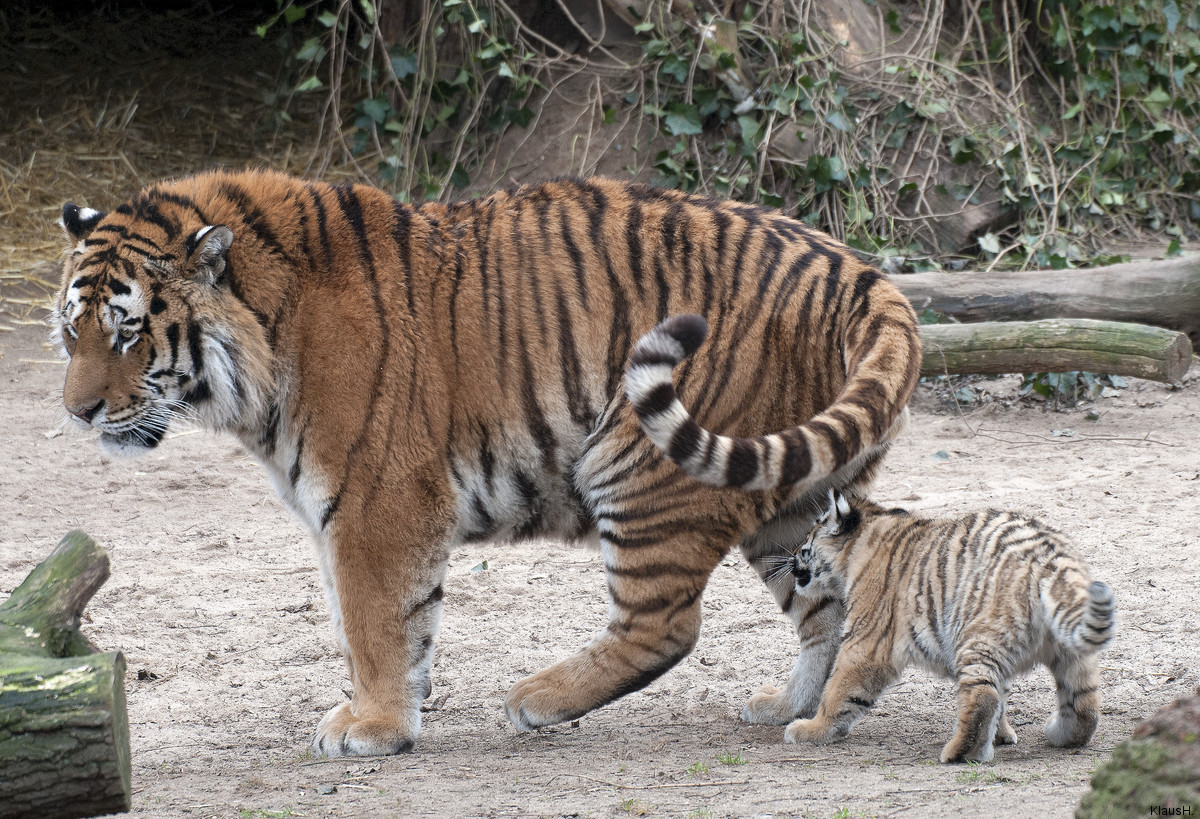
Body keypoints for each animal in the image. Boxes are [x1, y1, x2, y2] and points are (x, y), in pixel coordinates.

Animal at [51, 169, 921, 754]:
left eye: (128, 331)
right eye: (71, 330)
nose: (77, 410)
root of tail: (860, 271)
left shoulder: (375, 503)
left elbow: (373, 620)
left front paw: (372, 725)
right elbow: (388, 624)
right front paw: (389, 708)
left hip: (640, 462)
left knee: (666, 624)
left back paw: (536, 698)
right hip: (792, 500)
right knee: (826, 606)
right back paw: (791, 710)